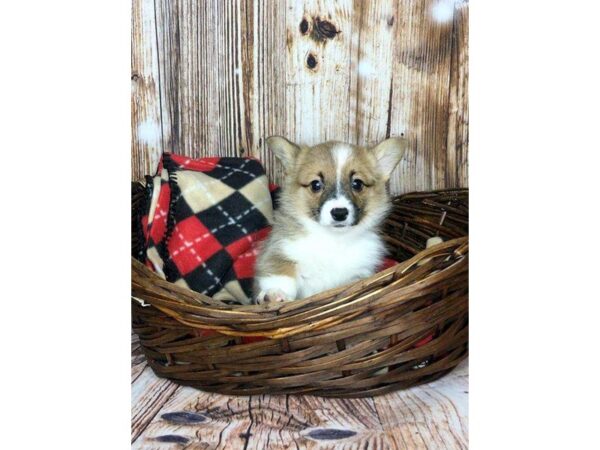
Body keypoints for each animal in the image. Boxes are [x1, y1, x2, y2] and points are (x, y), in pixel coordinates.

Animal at [253, 134, 408, 302]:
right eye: (316, 184)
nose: (339, 213)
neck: (334, 239)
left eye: (357, 184)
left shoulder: (359, 272)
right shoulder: (281, 251)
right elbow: (279, 274)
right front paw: (274, 293)